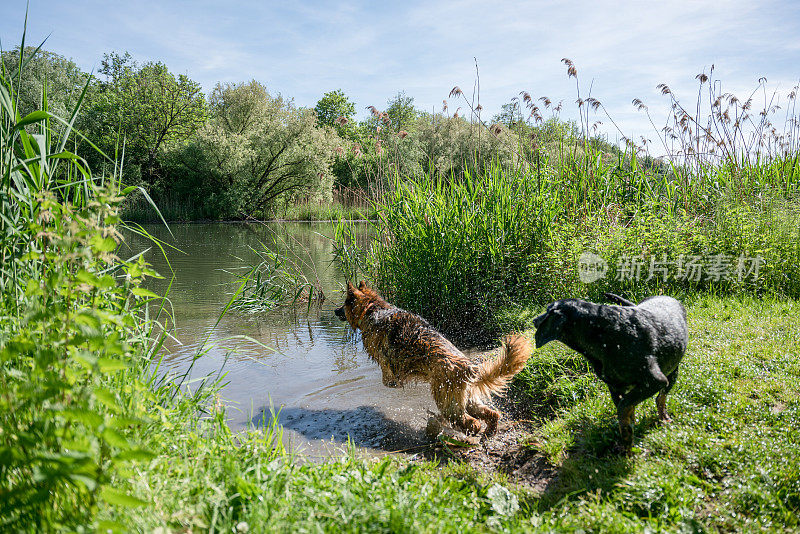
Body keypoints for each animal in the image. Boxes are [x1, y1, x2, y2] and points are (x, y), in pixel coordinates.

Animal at [334, 280, 536, 436]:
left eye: (343, 304)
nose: (335, 311)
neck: (372, 308)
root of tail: (469, 367)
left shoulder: (384, 359)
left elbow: (388, 373)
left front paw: (392, 382)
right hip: (468, 399)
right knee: (492, 414)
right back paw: (489, 431)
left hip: (447, 399)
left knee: (469, 421)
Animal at [536, 296, 684, 450]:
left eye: (547, 311)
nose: (534, 320)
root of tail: (667, 297)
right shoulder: (614, 387)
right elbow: (625, 410)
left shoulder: (656, 381)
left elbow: (623, 408)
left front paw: (627, 440)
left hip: (672, 374)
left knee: (661, 398)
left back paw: (664, 418)